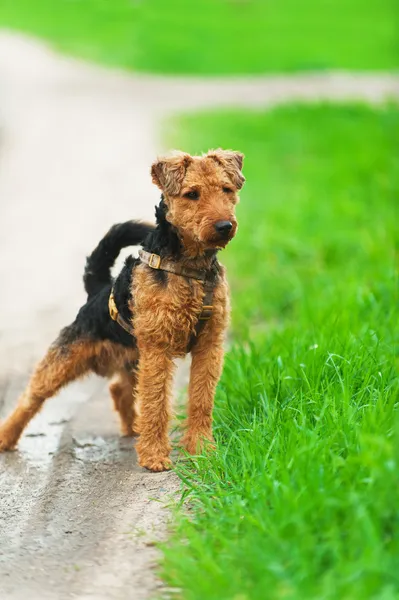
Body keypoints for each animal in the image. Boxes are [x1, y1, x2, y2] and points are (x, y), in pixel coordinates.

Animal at [0, 148, 244, 472]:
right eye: (192, 194)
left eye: (226, 189)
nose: (224, 227)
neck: (191, 269)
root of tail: (97, 289)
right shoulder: (159, 347)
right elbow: (156, 402)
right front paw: (155, 456)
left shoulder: (209, 344)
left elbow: (201, 399)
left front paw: (202, 448)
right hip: (67, 357)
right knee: (31, 396)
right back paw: (6, 437)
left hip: (134, 355)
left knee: (120, 390)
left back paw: (133, 428)